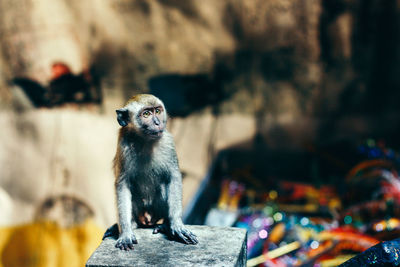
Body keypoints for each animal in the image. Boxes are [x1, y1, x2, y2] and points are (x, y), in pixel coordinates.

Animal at [102, 94, 198, 251]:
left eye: (157, 111)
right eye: (146, 114)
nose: (158, 122)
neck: (145, 141)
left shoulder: (168, 142)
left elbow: (173, 178)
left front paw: (176, 224)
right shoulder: (123, 146)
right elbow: (122, 185)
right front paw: (125, 232)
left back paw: (165, 225)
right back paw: (129, 225)